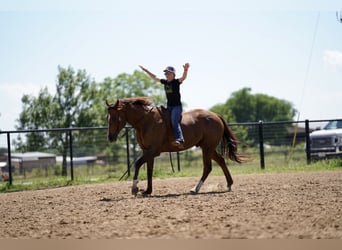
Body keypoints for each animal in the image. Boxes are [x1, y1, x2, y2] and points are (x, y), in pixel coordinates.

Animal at [107, 96, 243, 196]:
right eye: (108, 118)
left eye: (114, 117)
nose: (110, 137)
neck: (146, 121)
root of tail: (216, 115)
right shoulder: (147, 152)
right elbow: (149, 170)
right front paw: (147, 191)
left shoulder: (153, 151)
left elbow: (137, 164)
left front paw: (135, 188)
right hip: (208, 148)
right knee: (221, 161)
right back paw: (229, 184)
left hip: (207, 148)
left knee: (208, 167)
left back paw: (195, 189)